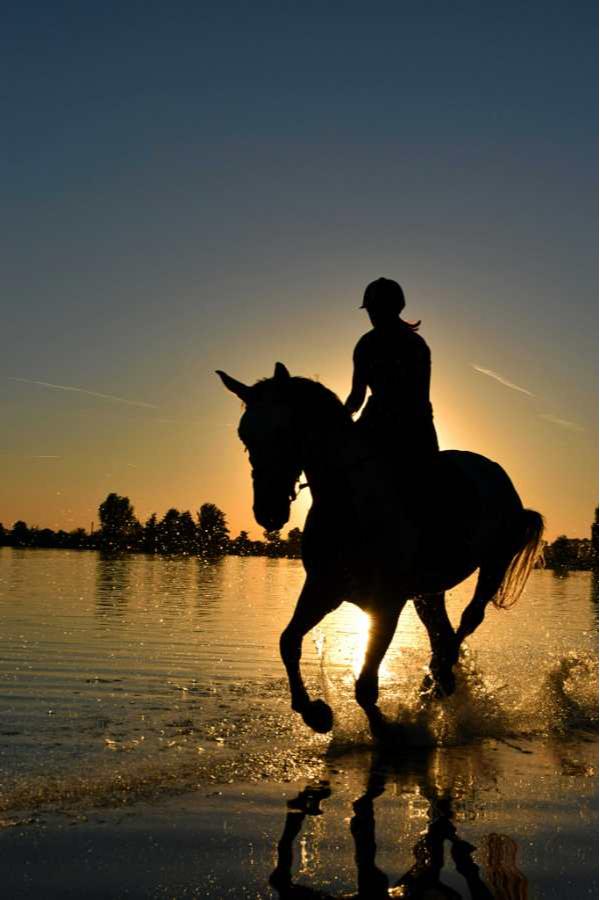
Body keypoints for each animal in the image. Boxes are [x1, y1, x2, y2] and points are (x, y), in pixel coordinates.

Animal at [217, 362, 544, 736]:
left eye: (285, 431)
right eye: (244, 435)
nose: (268, 511)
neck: (351, 503)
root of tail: (495, 472)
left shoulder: (386, 602)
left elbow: (365, 683)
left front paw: (387, 730)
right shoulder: (323, 589)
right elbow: (288, 642)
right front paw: (315, 713)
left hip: (493, 563)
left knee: (467, 620)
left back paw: (438, 681)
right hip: (428, 591)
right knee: (440, 632)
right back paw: (436, 685)